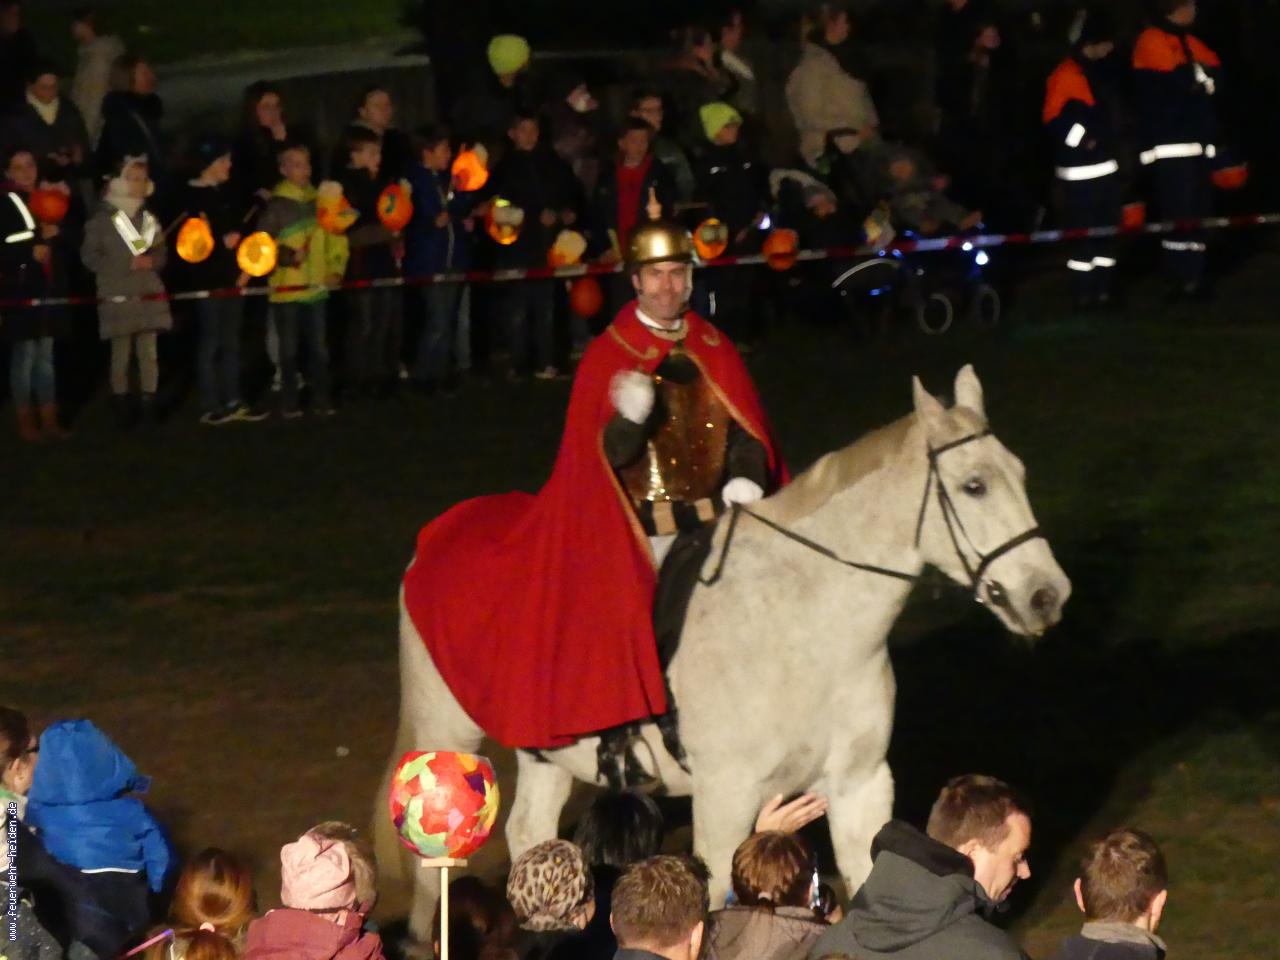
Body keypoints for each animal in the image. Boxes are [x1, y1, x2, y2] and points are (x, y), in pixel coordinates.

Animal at [373, 365, 1071, 940]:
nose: (1047, 595)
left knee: (529, 833)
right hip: (446, 734)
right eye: (974, 485)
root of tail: (435, 538)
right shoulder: (724, 799)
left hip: (545, 750)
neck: (804, 627)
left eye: (1020, 475)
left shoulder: (861, 784)